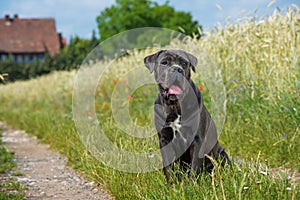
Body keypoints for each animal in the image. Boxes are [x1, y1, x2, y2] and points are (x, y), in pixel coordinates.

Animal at [144, 49, 231, 181]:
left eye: (184, 63)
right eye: (164, 62)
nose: (177, 69)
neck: (175, 106)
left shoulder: (197, 139)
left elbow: (195, 167)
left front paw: (192, 184)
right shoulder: (164, 139)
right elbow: (168, 167)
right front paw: (172, 185)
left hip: (221, 153)